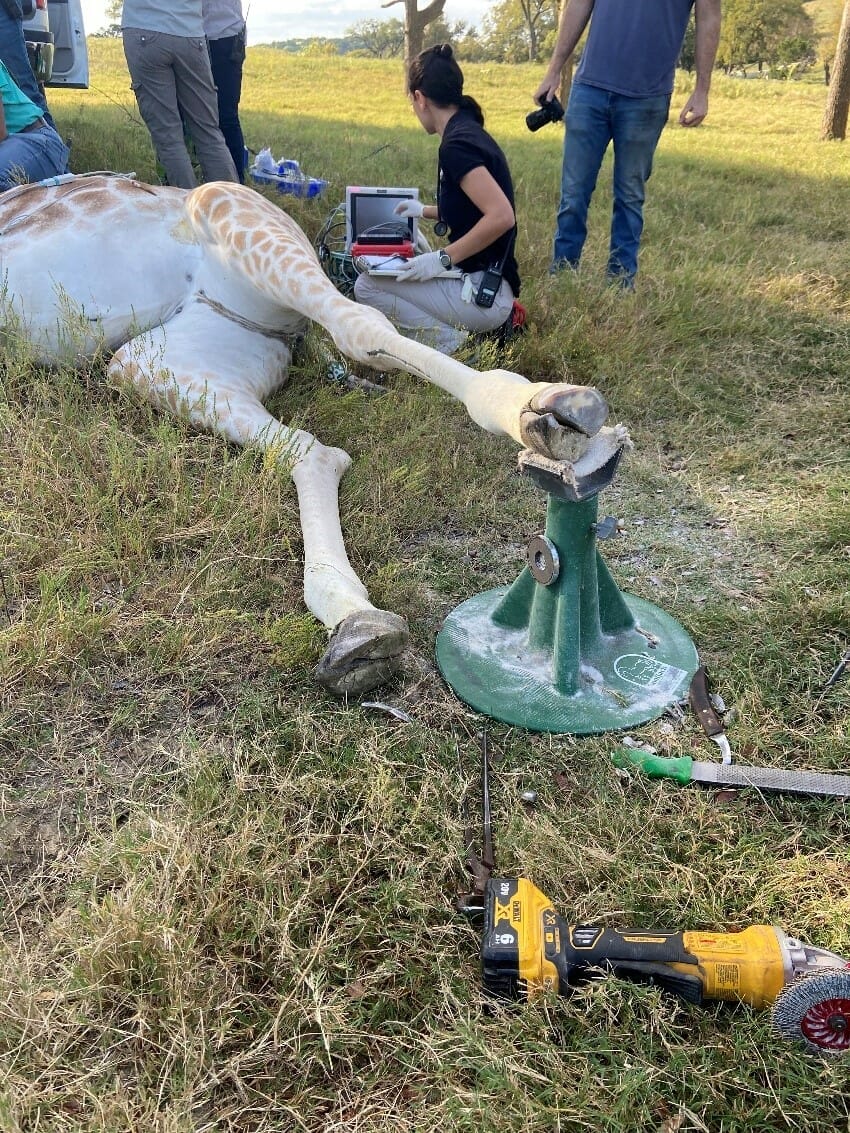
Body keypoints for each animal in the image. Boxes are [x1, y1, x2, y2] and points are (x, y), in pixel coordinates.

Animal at [0, 174, 615, 696]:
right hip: (157, 358)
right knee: (313, 449)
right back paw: (353, 620)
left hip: (223, 209)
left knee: (358, 328)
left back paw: (557, 412)